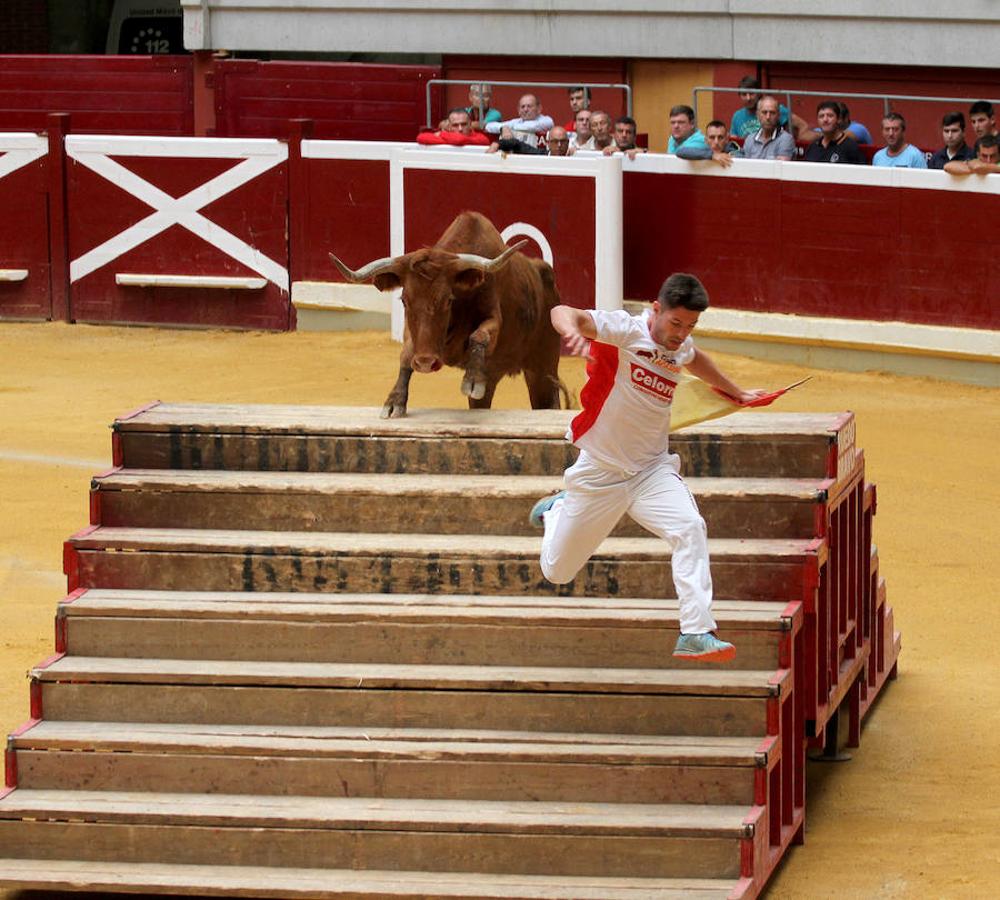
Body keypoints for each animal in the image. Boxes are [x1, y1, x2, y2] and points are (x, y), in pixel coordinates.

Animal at [328, 211, 564, 418]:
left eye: (448, 300)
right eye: (404, 300)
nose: (425, 362)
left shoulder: (493, 317)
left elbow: (480, 335)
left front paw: (472, 379)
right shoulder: (413, 333)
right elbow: (406, 353)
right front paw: (394, 401)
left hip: (544, 368)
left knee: (547, 400)